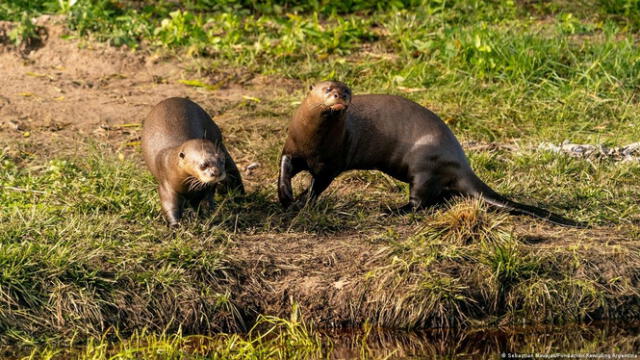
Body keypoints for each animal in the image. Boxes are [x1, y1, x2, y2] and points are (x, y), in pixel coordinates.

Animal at [143, 97, 245, 226]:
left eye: (221, 161)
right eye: (203, 164)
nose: (217, 173)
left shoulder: (207, 187)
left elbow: (206, 199)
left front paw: (207, 214)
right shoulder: (166, 185)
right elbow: (169, 205)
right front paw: (175, 225)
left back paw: (240, 196)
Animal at [278, 81, 588, 228]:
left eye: (348, 91)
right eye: (328, 89)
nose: (340, 97)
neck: (312, 140)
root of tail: (462, 162)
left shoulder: (332, 161)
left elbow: (318, 185)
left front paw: (301, 201)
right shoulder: (293, 146)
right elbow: (284, 166)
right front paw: (285, 196)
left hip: (424, 162)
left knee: (421, 200)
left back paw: (391, 209)